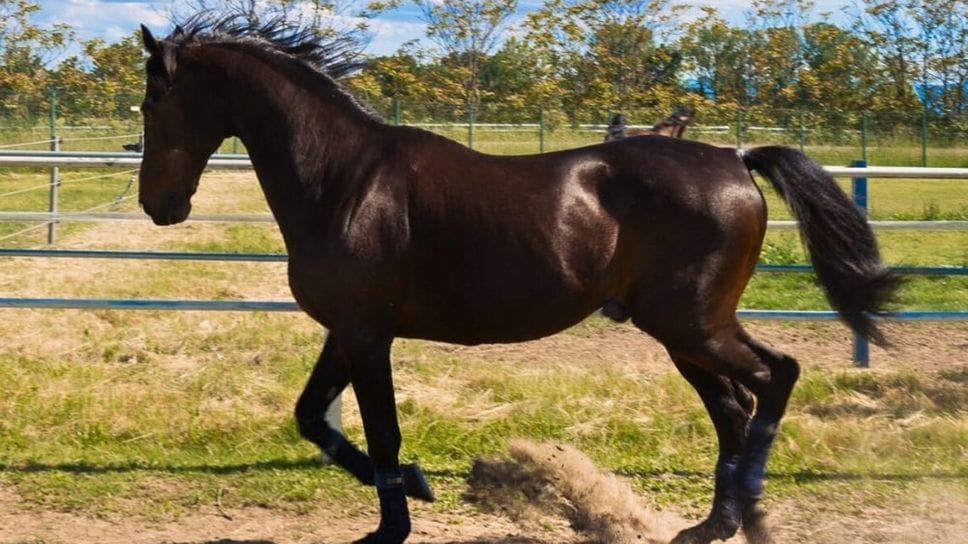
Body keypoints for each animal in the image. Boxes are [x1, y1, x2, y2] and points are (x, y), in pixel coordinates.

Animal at [137, 15, 898, 544]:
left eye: (150, 106)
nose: (158, 206)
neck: (344, 182)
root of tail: (734, 157)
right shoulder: (348, 332)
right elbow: (311, 417)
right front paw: (420, 488)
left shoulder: (367, 334)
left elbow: (381, 431)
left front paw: (393, 524)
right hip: (685, 333)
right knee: (734, 407)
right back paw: (719, 523)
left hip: (692, 324)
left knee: (775, 378)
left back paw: (749, 513)